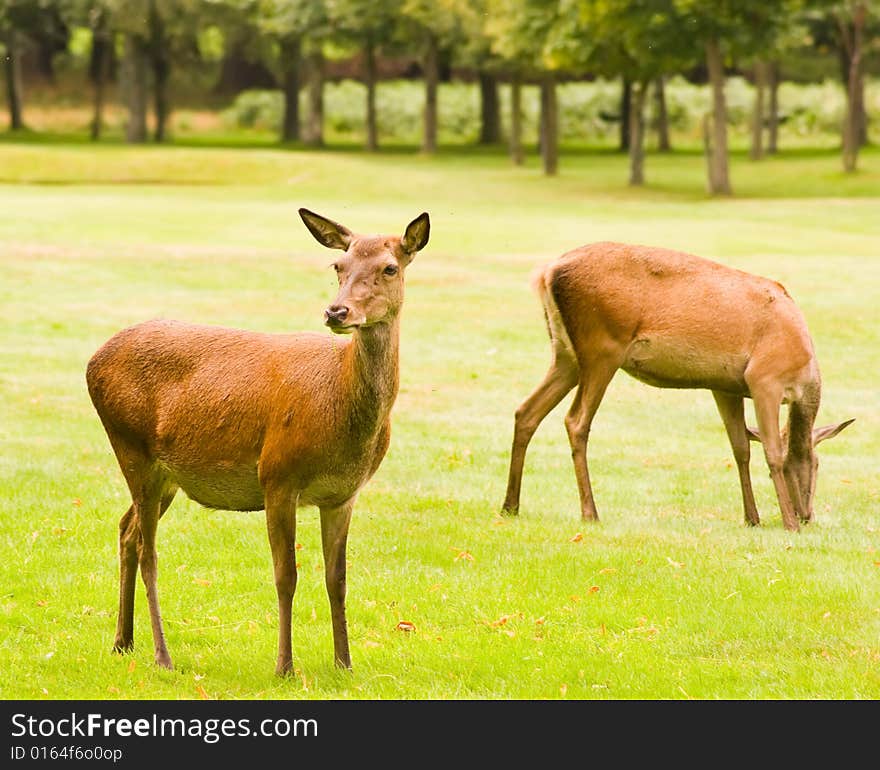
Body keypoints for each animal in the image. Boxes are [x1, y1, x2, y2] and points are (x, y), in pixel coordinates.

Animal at [87, 207, 432, 668]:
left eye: (390, 267)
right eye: (338, 266)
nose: (336, 312)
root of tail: (92, 362)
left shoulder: (343, 494)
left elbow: (337, 579)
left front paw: (344, 663)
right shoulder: (277, 476)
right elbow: (286, 575)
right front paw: (285, 666)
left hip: (166, 474)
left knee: (126, 530)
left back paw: (122, 641)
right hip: (130, 445)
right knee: (148, 550)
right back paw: (162, 655)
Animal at [502, 243, 852, 532]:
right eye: (817, 463)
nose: (807, 515)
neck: (804, 372)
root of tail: (548, 273)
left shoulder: (725, 386)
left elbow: (740, 449)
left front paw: (752, 518)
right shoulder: (765, 377)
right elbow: (773, 452)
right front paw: (787, 524)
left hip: (565, 353)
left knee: (526, 411)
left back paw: (510, 505)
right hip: (602, 346)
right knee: (576, 420)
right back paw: (590, 512)